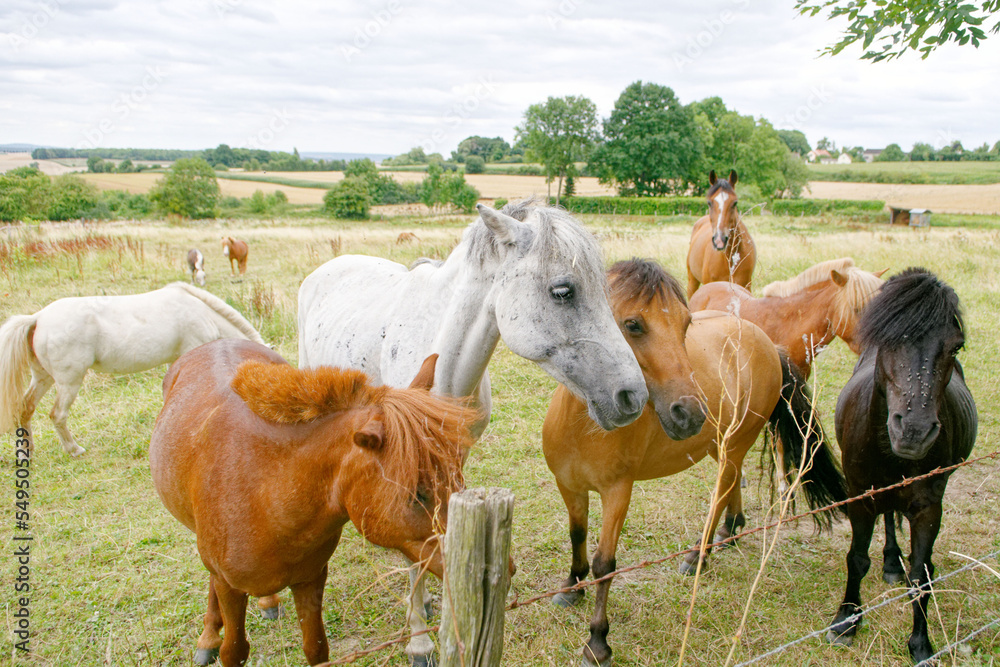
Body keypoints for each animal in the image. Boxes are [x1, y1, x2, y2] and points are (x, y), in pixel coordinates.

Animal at [0, 283, 265, 456]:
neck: (202, 312)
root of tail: (38, 317)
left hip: (42, 378)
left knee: (26, 407)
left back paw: (27, 448)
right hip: (69, 381)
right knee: (57, 415)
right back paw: (74, 449)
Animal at [149, 340, 476, 667]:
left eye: (457, 475)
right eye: (416, 494)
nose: (476, 570)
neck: (268, 492)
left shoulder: (311, 579)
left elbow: (317, 648)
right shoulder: (230, 587)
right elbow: (234, 651)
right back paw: (208, 637)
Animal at [298, 200, 648, 664]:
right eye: (562, 291)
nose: (632, 396)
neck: (441, 357)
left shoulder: (452, 457)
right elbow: (414, 548)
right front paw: (420, 642)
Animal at [543, 259, 847, 667]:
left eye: (686, 324)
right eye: (633, 324)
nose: (688, 413)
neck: (583, 427)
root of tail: (769, 344)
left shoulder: (618, 493)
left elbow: (605, 564)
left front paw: (598, 641)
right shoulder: (570, 487)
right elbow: (577, 537)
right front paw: (571, 588)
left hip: (733, 444)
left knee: (721, 490)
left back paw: (698, 555)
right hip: (723, 445)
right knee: (732, 482)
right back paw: (730, 532)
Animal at [826, 268, 976, 664]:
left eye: (955, 347)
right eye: (885, 340)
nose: (913, 431)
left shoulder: (928, 508)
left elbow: (923, 575)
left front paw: (921, 643)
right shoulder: (860, 497)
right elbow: (856, 559)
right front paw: (846, 621)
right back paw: (892, 562)